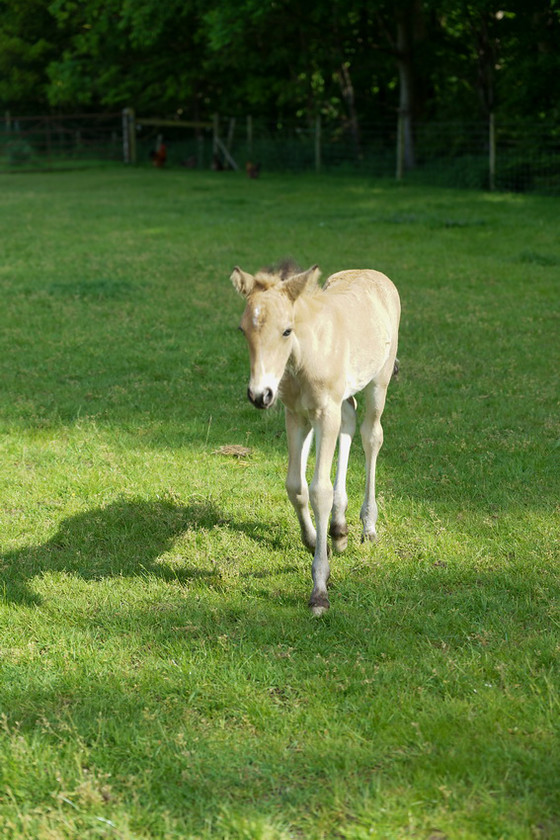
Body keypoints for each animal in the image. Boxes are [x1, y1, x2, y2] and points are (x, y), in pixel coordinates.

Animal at [230, 264, 400, 616]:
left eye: (286, 331)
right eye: (242, 330)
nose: (259, 395)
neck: (305, 355)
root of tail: (372, 272)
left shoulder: (323, 413)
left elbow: (319, 489)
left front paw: (319, 589)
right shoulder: (296, 415)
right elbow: (296, 485)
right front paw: (312, 540)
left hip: (379, 379)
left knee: (371, 435)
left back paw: (368, 526)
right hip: (337, 402)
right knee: (349, 420)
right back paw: (338, 528)